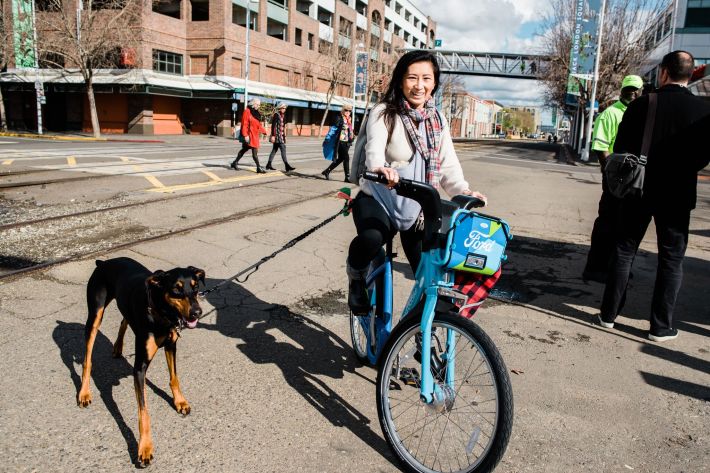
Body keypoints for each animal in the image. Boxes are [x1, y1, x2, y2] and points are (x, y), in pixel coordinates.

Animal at [78, 254, 206, 464]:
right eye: (176, 289)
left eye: (195, 287)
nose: (197, 313)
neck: (162, 314)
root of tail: (104, 262)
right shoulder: (139, 368)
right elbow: (144, 412)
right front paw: (145, 448)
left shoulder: (171, 345)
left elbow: (174, 378)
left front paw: (179, 401)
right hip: (95, 313)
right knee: (87, 358)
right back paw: (84, 393)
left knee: (124, 319)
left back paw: (117, 347)